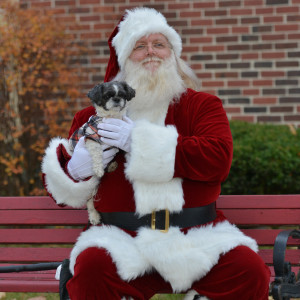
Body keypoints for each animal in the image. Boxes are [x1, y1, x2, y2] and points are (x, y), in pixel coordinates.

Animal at [69, 81, 135, 224]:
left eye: (122, 95)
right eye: (107, 96)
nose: (116, 99)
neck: (111, 118)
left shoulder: (118, 143)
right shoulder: (91, 138)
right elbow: (98, 153)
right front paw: (99, 168)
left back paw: (111, 166)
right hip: (90, 186)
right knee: (90, 202)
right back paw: (94, 217)